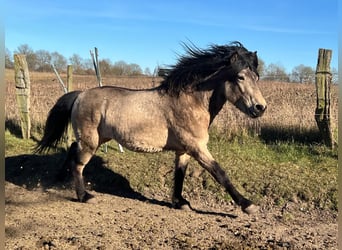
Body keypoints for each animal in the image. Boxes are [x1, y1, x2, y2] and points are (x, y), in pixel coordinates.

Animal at [36, 42, 268, 214]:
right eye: (240, 76)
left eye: (257, 77)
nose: (261, 108)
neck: (190, 101)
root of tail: (80, 94)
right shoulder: (197, 147)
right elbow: (220, 173)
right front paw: (248, 205)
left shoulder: (184, 150)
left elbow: (180, 174)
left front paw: (180, 202)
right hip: (90, 141)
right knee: (78, 164)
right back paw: (84, 196)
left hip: (97, 139)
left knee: (71, 151)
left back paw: (59, 180)